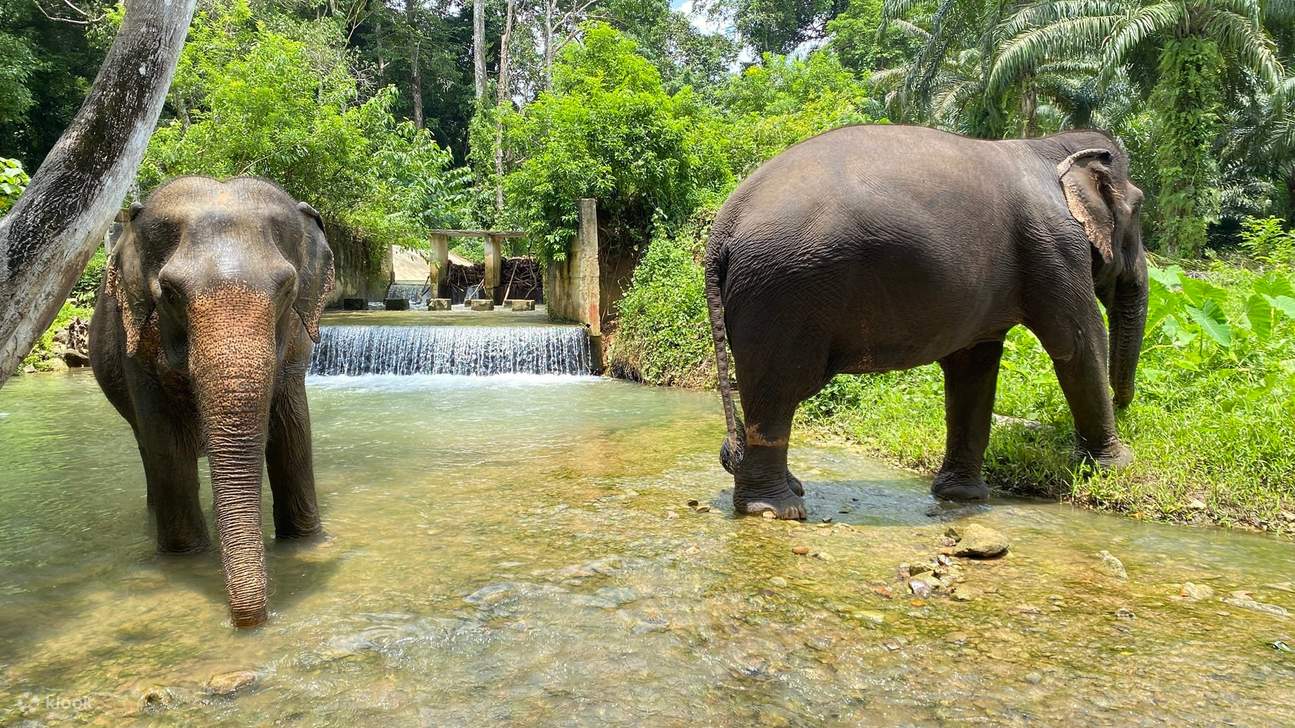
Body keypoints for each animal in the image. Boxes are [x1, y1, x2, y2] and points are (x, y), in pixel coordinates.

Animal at [90, 176, 335, 627]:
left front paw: (306, 543)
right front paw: (186, 558)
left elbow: (293, 433)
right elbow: (166, 445)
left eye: (287, 288)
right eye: (169, 293)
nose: (253, 621)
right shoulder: (136, 347)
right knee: (148, 450)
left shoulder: (296, 344)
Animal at [704, 125, 1147, 519]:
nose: (1125, 406)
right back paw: (777, 509)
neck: (1049, 146)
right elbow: (1079, 342)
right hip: (783, 294)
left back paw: (787, 489)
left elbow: (973, 365)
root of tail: (724, 224)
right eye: (1139, 206)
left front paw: (961, 496)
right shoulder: (1056, 247)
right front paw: (1118, 464)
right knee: (779, 391)